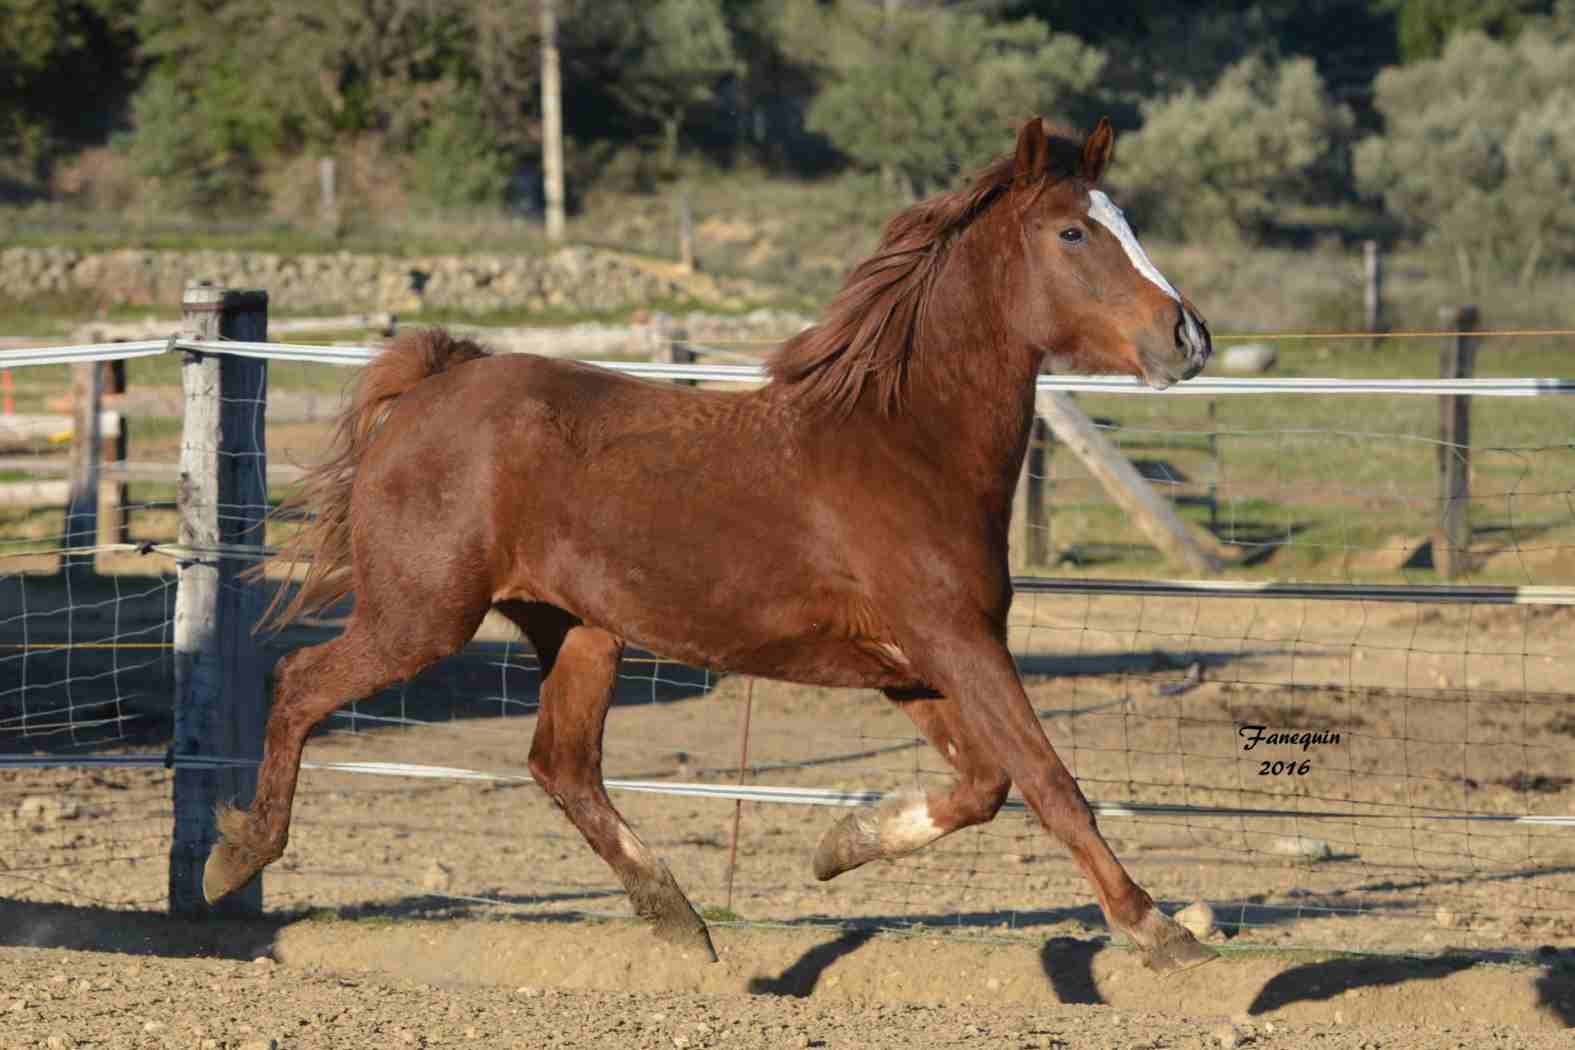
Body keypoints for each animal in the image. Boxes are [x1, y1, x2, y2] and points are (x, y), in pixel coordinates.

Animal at [206, 117, 1215, 976]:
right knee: (301, 684)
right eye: (1073, 234)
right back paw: (236, 857)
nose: (1189, 337)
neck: (904, 444)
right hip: (421, 616)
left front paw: (836, 846)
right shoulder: (955, 642)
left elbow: (984, 782)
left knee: (561, 766)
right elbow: (1047, 781)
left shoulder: (915, 663)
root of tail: (428, 388)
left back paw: (677, 918)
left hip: (578, 630)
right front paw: (1159, 933)